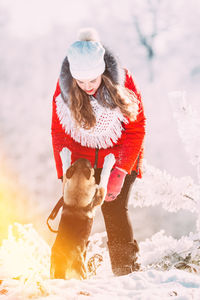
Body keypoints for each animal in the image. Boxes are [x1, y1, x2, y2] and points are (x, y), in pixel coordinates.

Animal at [50, 149, 115, 280]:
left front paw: (65, 154)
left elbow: (65, 172)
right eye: (90, 165)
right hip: (82, 271)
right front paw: (109, 160)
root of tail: (61, 268)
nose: (84, 157)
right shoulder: (99, 196)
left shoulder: (65, 188)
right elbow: (104, 178)